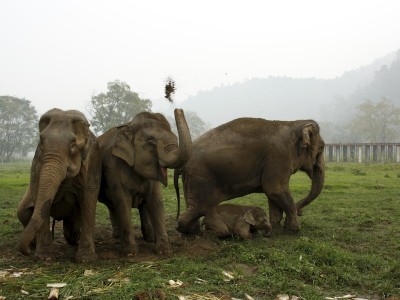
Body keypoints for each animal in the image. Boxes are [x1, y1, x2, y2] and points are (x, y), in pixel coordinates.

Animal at [16, 108, 101, 262]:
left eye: (73, 145)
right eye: (41, 143)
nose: (27, 252)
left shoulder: (92, 161)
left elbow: (89, 199)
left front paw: (86, 260)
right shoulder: (37, 163)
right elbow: (39, 196)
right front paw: (45, 258)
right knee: (22, 211)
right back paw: (35, 243)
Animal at [96, 109, 191, 256]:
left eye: (176, 138)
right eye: (151, 142)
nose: (178, 110)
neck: (129, 125)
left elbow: (156, 200)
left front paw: (164, 250)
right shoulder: (114, 169)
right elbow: (123, 201)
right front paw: (130, 253)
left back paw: (149, 238)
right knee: (112, 205)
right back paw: (118, 237)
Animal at [175, 117, 324, 234]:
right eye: (322, 148)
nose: (300, 212)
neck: (294, 123)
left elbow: (272, 194)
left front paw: (276, 227)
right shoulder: (278, 156)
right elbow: (275, 189)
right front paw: (294, 230)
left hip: (190, 179)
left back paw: (194, 231)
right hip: (202, 179)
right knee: (200, 208)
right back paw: (192, 232)